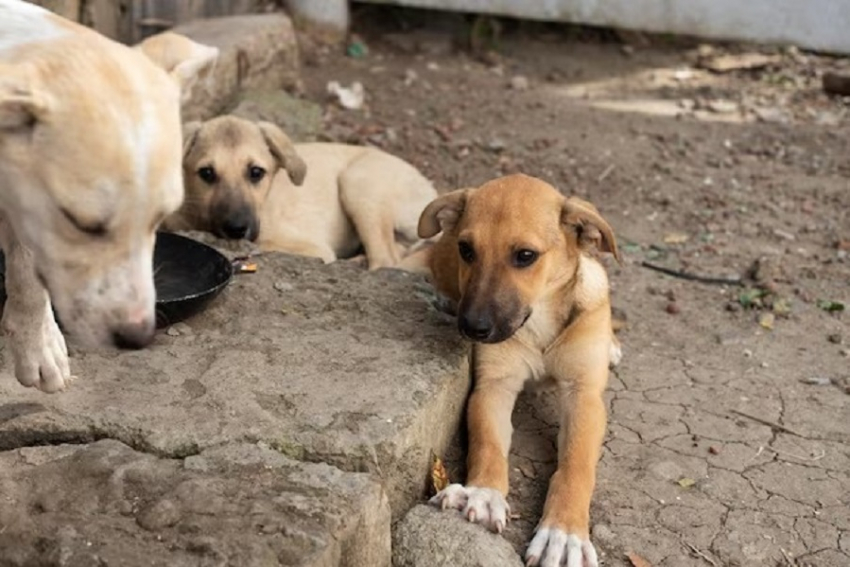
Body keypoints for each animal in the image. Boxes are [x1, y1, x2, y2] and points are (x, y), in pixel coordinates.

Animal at [164, 115, 438, 270]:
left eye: (256, 172)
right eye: (207, 174)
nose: (236, 228)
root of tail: (430, 188)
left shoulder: (315, 249)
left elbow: (264, 245)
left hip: (359, 183)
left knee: (385, 260)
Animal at [420, 174, 620, 567]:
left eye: (525, 256)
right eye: (467, 250)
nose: (473, 328)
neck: (538, 321)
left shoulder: (583, 396)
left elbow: (576, 465)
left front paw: (564, 532)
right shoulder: (493, 386)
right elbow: (487, 444)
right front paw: (483, 494)